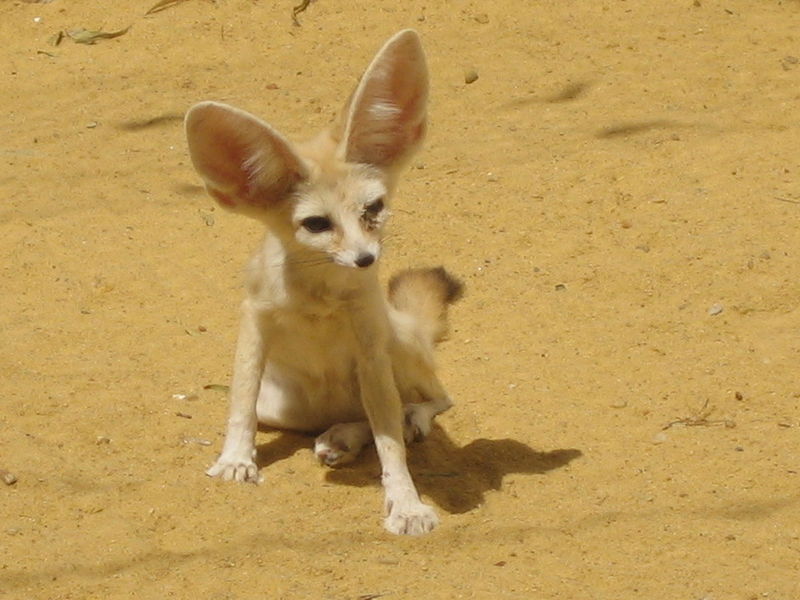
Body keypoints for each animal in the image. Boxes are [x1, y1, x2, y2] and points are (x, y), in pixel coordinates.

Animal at [184, 29, 462, 535]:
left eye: (374, 209)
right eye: (316, 224)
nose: (366, 259)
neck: (319, 295)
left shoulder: (371, 349)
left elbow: (390, 444)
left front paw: (406, 503)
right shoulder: (254, 321)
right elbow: (240, 402)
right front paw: (236, 459)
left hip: (397, 350)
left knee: (431, 400)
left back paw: (384, 424)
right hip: (281, 405)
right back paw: (340, 436)